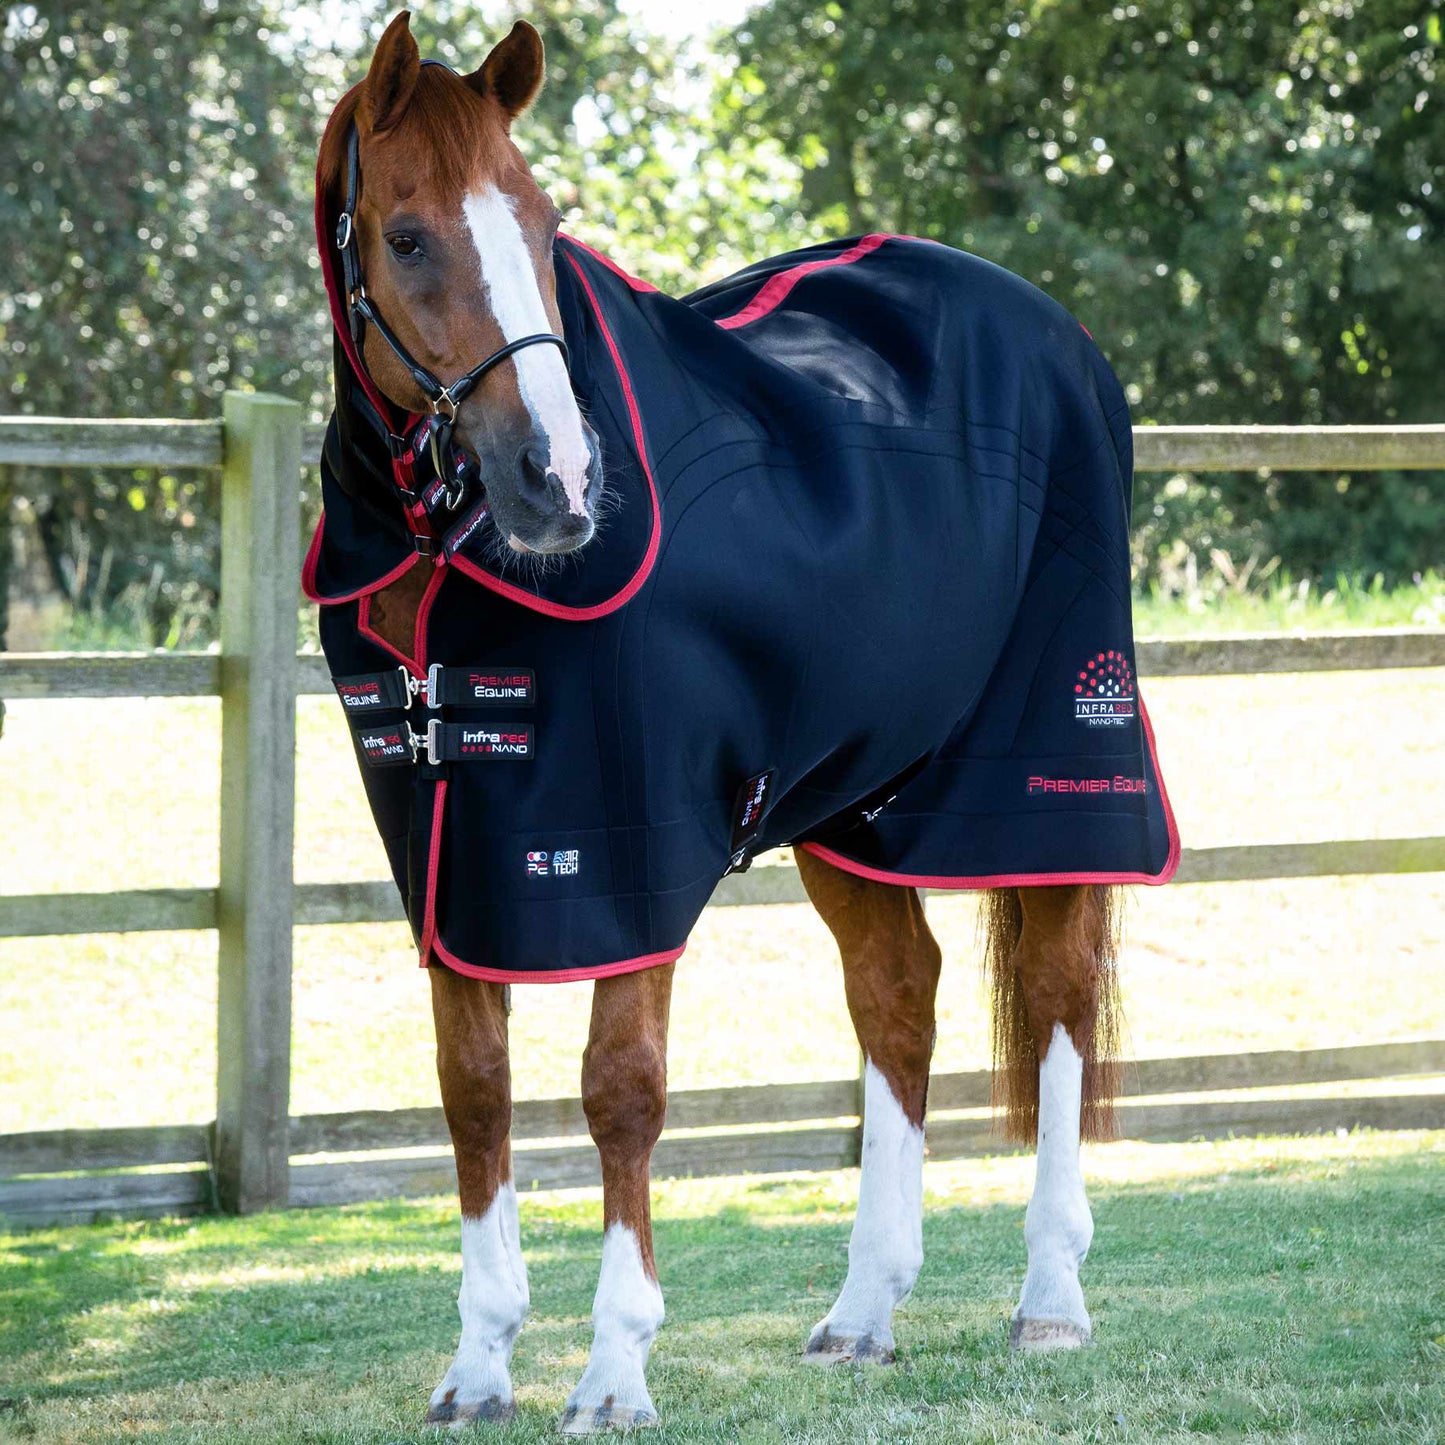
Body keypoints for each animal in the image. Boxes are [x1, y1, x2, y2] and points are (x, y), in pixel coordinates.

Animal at [308, 12, 1177, 1432]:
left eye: (541, 224)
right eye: (410, 236)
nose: (558, 480)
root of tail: (1055, 332)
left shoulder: (625, 847)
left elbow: (620, 1090)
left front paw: (612, 1369)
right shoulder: (455, 861)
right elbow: (472, 1090)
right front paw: (479, 1365)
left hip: (1041, 763)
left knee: (1050, 998)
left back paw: (1048, 1296)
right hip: (853, 800)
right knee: (897, 994)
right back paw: (862, 1311)